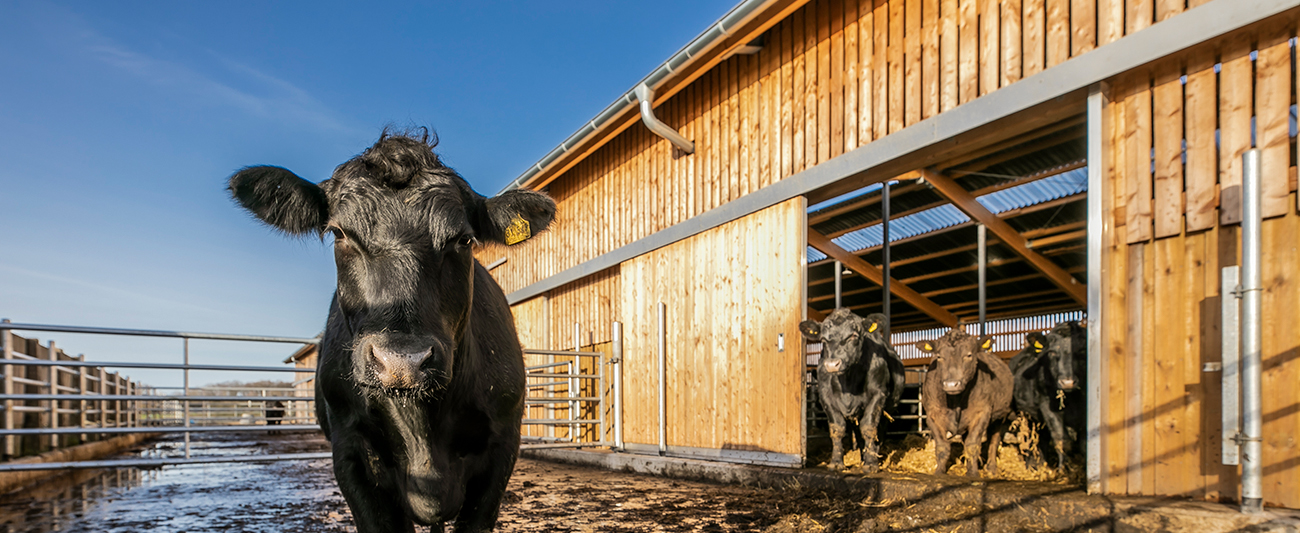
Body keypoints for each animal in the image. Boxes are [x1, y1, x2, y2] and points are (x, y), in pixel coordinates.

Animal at [790, 308, 904, 470]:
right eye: (823, 340)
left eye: (853, 336)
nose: (832, 364)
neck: (848, 381)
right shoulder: (826, 398)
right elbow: (837, 429)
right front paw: (837, 463)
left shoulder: (878, 395)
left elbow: (869, 428)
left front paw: (871, 464)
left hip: (889, 408)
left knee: (880, 431)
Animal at [920, 326, 1008, 475]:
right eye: (939, 356)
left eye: (969, 355)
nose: (951, 384)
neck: (955, 401)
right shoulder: (933, 415)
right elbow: (942, 447)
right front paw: (939, 471)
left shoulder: (982, 413)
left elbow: (972, 444)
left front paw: (973, 473)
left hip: (1000, 417)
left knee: (993, 441)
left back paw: (991, 468)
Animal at [1003, 322, 1086, 467]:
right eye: (1052, 352)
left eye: (1082, 350)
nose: (1067, 382)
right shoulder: (1047, 406)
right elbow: (1062, 440)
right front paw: (1064, 468)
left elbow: (1084, 444)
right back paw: (1033, 465)